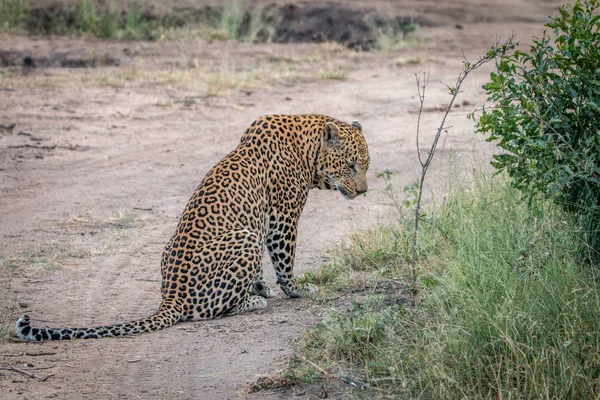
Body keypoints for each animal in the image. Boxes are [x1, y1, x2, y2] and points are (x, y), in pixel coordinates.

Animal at [15, 114, 370, 342]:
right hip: (245, 239)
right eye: (350, 165)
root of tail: (171, 297)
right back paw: (253, 303)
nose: (364, 191)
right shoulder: (283, 216)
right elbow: (285, 261)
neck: (307, 146)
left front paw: (260, 286)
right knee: (212, 311)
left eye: (366, 165)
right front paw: (295, 290)